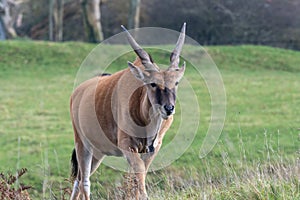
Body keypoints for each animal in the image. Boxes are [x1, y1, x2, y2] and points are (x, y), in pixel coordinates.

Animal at [70, 23, 186, 198]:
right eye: (152, 83)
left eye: (176, 83)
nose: (169, 108)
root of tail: (77, 92)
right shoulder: (127, 145)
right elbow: (139, 173)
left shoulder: (152, 148)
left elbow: (137, 176)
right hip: (82, 143)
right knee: (84, 181)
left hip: (98, 151)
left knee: (78, 179)